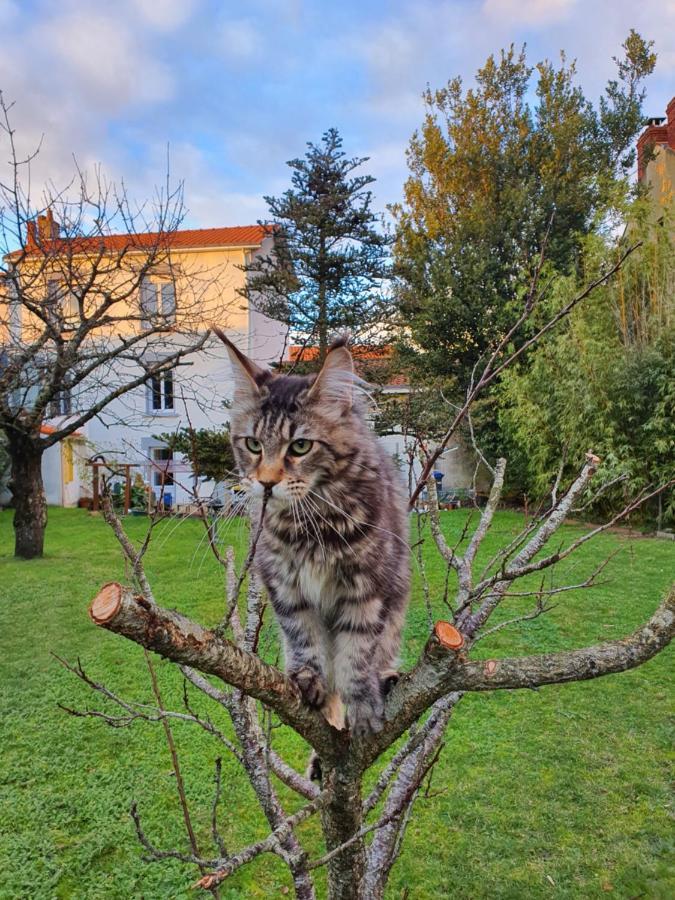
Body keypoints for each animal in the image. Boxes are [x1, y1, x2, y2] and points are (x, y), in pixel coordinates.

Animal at [214, 330, 410, 740]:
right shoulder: (287, 589)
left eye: (300, 446)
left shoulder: (368, 590)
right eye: (253, 444)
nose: (266, 483)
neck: (310, 525)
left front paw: (363, 704)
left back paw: (385, 681)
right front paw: (308, 680)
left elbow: (357, 653)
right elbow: (305, 640)